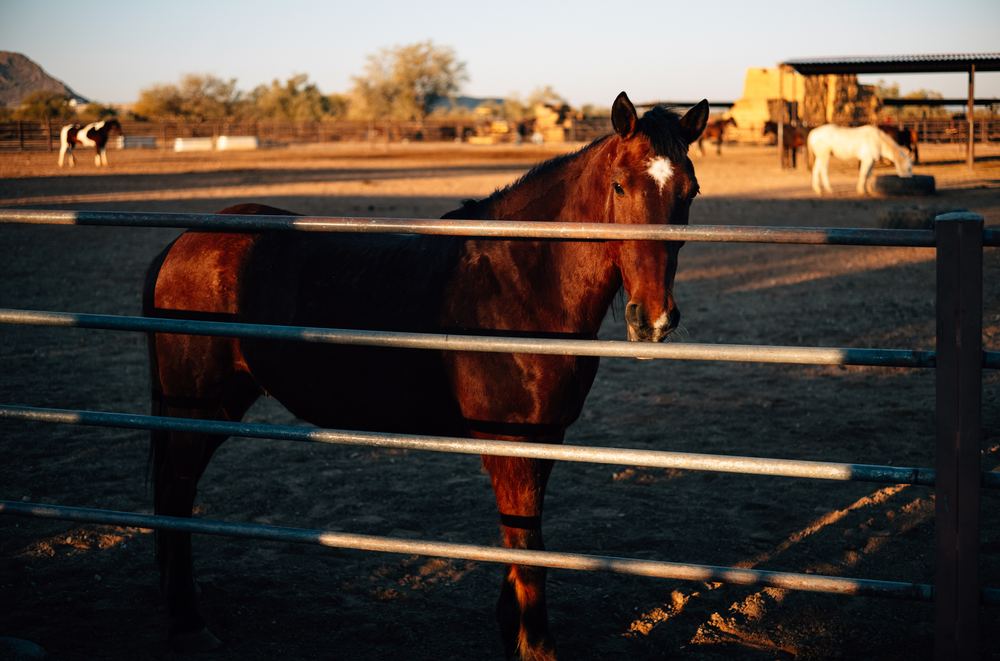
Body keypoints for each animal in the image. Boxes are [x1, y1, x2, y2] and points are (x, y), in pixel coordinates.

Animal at [143, 91, 709, 659]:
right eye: (620, 185)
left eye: (690, 191)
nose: (652, 319)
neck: (520, 279)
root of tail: (183, 243)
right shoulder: (512, 445)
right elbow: (528, 546)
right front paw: (536, 647)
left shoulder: (546, 438)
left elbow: (521, 540)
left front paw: (511, 629)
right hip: (197, 405)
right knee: (175, 489)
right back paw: (187, 621)